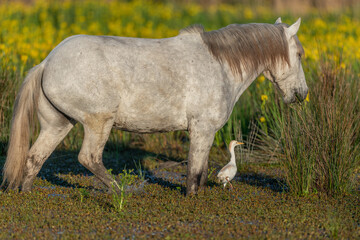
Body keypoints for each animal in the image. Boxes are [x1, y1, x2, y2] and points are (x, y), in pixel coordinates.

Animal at [2, 18, 306, 195]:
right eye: (300, 54)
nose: (302, 94)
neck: (220, 65)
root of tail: (46, 63)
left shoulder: (204, 133)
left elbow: (203, 169)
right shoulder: (202, 129)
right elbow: (195, 173)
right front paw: (192, 200)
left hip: (58, 124)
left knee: (34, 158)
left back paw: (25, 193)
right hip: (98, 122)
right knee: (88, 158)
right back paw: (120, 192)